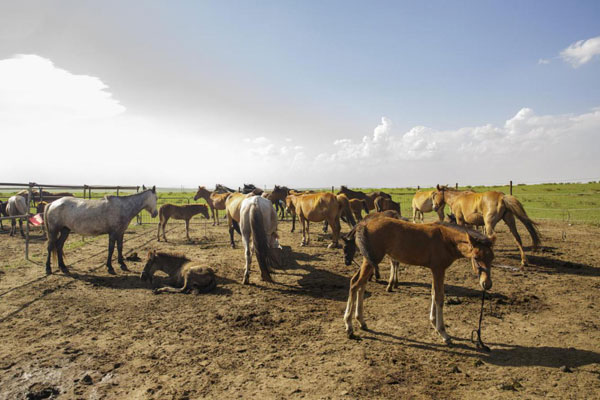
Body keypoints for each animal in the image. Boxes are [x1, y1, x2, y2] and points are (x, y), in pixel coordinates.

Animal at [344, 217, 494, 342]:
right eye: (476, 258)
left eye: (492, 258)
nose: (486, 284)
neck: (445, 239)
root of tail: (364, 224)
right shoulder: (438, 269)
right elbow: (439, 297)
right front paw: (443, 332)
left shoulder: (436, 270)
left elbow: (433, 293)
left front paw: (433, 323)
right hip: (372, 259)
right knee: (355, 285)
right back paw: (349, 326)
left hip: (370, 259)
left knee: (358, 283)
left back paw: (361, 322)